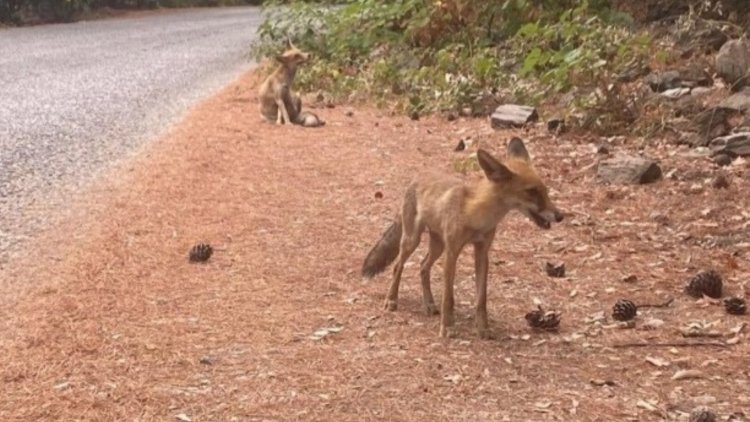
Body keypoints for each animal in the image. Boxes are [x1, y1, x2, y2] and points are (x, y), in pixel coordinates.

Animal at [362, 138, 564, 340]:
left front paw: (483, 329)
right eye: (531, 191)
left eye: (545, 191)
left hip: (437, 246)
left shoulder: (482, 252)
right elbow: (448, 298)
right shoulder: (452, 251)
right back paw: (392, 300)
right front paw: (447, 327)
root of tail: (418, 177)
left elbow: (481, 299)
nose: (560, 216)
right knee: (398, 266)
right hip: (413, 240)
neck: (476, 215)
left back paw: (429, 304)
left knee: (423, 266)